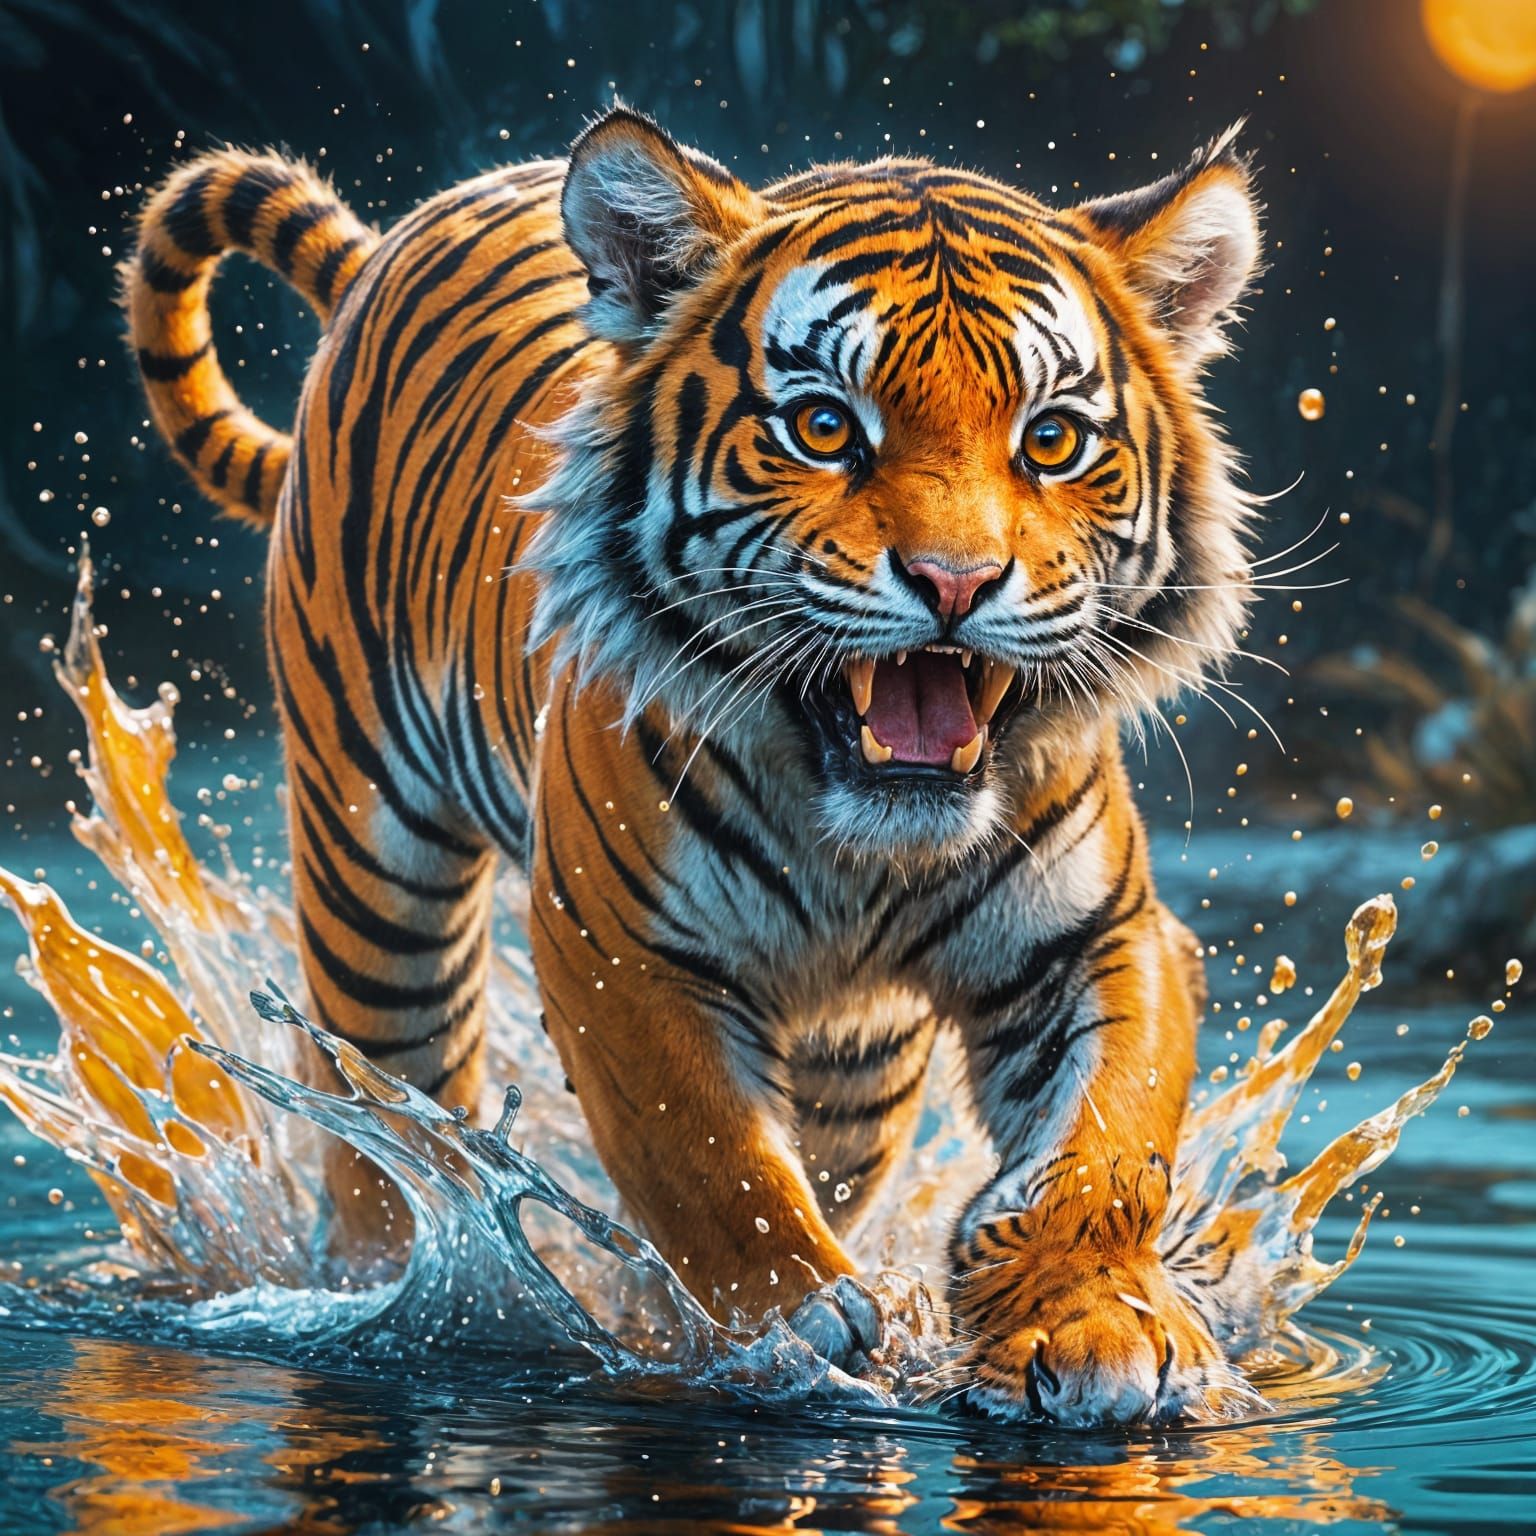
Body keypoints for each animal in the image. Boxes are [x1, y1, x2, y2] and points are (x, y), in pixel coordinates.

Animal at [123, 105, 1264, 1425]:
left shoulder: (1099, 934)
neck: (859, 843)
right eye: (825, 427)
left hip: (859, 1062)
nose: (958, 583)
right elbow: (707, 1154)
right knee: (385, 1134)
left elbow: (1109, 1144)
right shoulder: (615, 950)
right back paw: (394, 1290)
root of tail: (391, 242)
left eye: (1053, 441)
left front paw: (1099, 1326)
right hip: (373, 876)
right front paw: (792, 1326)